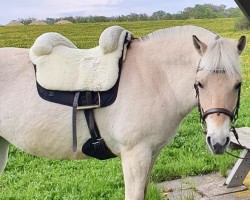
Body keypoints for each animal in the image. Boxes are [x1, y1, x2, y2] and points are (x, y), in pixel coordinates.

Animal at [0, 25, 246, 200]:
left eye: (237, 84)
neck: (155, 77)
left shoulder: (151, 153)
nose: (218, 142)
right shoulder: (135, 155)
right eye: (200, 83)